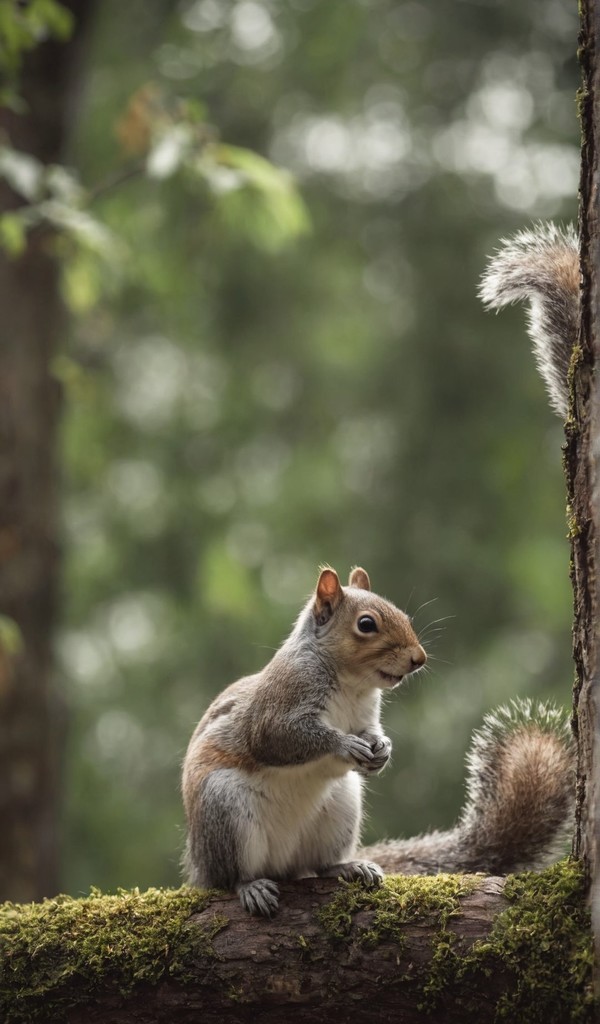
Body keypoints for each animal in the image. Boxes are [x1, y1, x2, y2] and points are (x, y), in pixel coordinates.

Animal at [182, 565, 425, 917]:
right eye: (366, 624)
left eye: (406, 617)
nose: (419, 658)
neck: (352, 684)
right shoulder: (279, 705)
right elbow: (278, 738)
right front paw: (344, 744)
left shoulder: (365, 718)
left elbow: (371, 733)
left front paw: (383, 749)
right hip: (224, 809)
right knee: (231, 877)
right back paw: (250, 886)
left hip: (341, 807)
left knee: (320, 865)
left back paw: (349, 867)